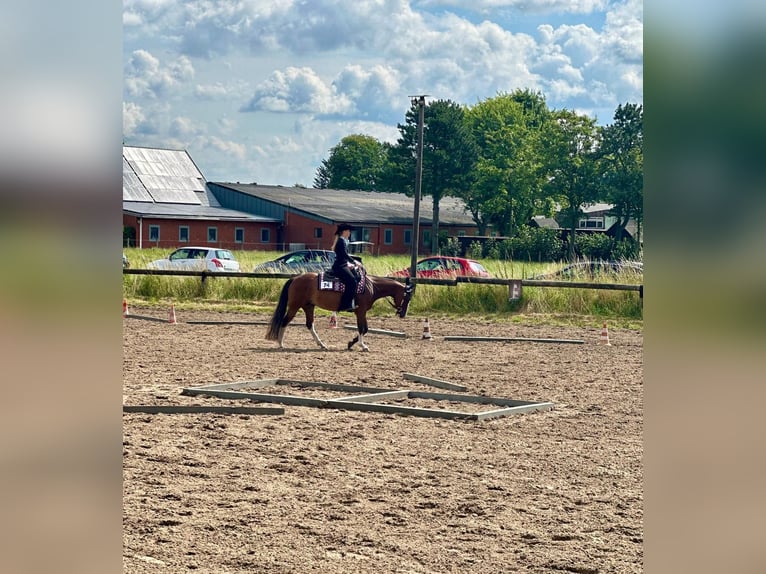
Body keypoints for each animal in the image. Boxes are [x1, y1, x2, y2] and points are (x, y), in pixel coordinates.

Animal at [265, 270, 414, 351]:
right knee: (284, 321)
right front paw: (362, 346)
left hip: (308, 306)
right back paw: (281, 343)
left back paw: (322, 344)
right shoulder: (361, 312)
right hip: (295, 306)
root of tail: (295, 278)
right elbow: (362, 329)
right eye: (407, 297)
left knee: (309, 325)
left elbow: (365, 329)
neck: (371, 286)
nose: (403, 314)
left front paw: (351, 343)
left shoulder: (362, 312)